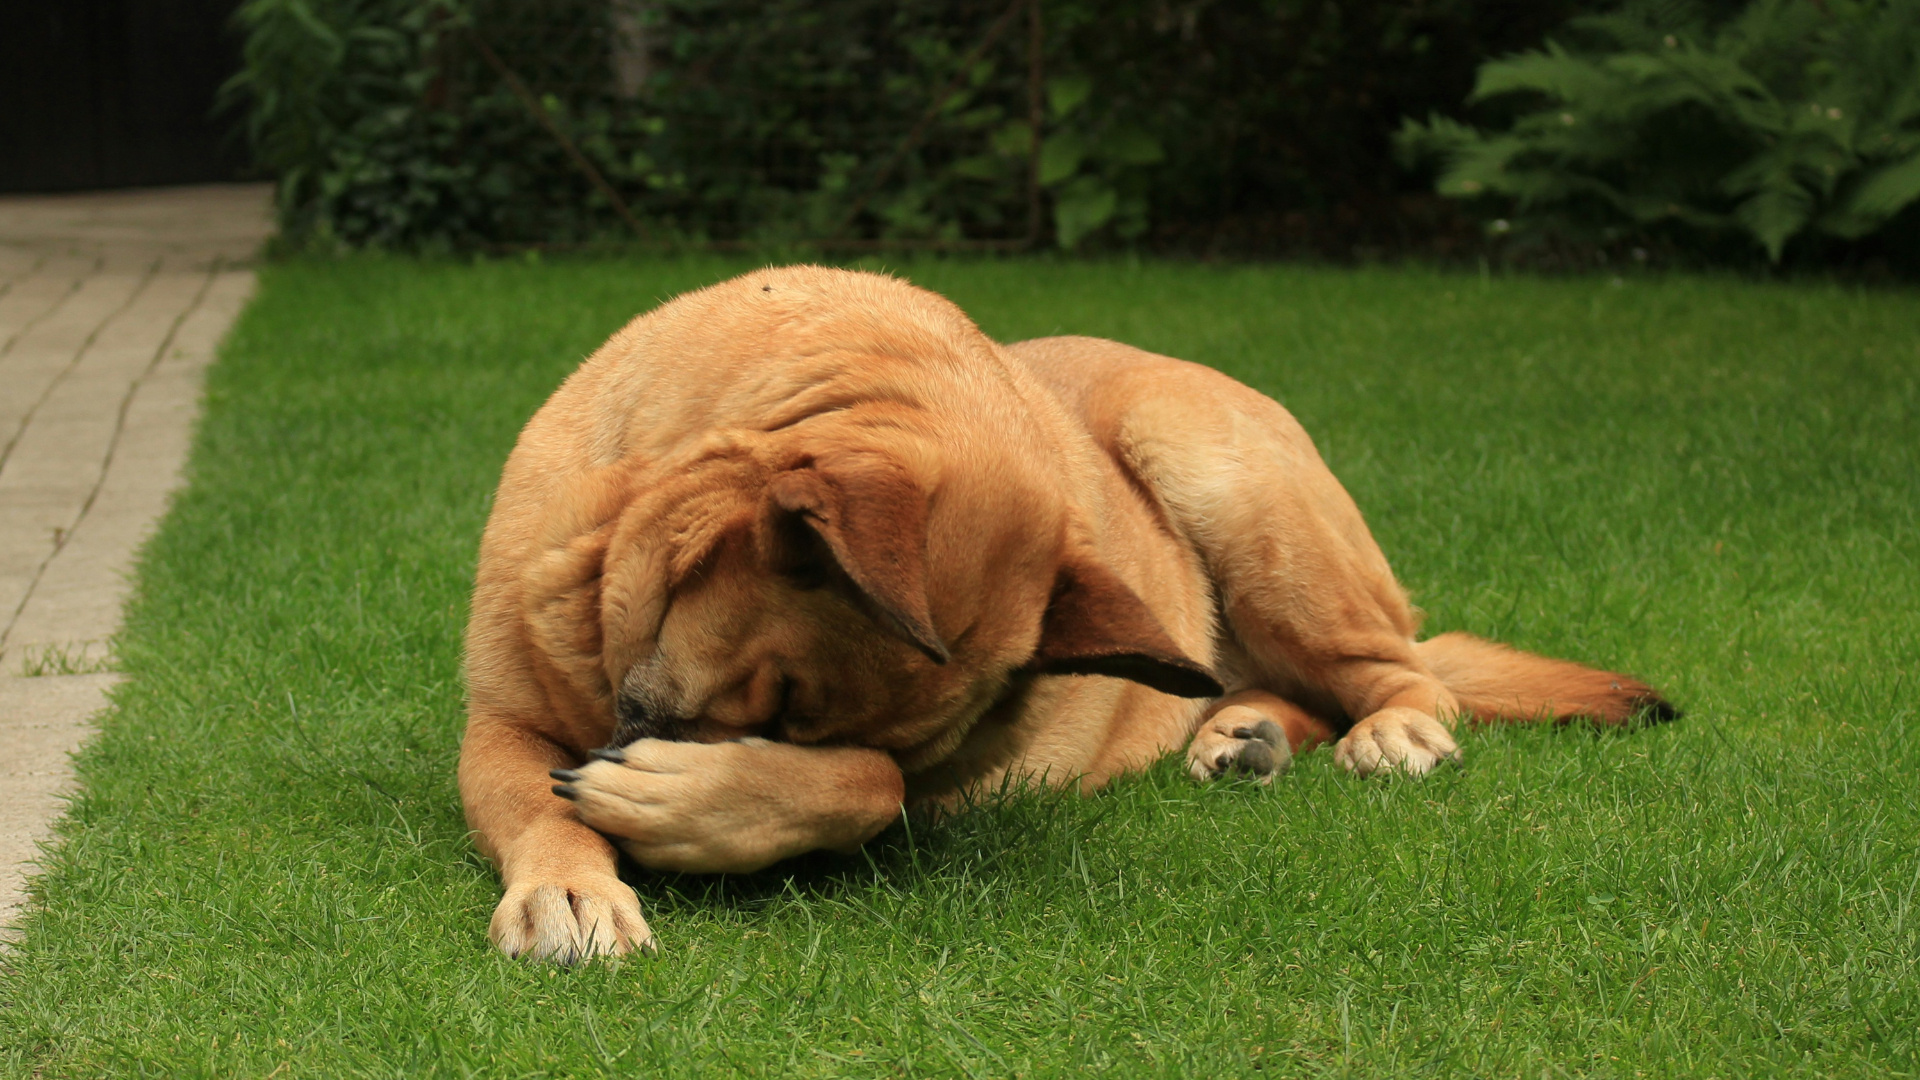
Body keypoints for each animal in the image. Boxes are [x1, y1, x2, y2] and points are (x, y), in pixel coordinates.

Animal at [456, 267, 1674, 957]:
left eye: (786, 718)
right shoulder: (499, 726)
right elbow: (534, 801)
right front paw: (571, 886)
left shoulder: (924, 791)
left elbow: (869, 786)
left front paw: (687, 804)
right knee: (1294, 684)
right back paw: (1246, 732)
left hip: (1225, 480)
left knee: (1399, 669)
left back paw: (1392, 732)